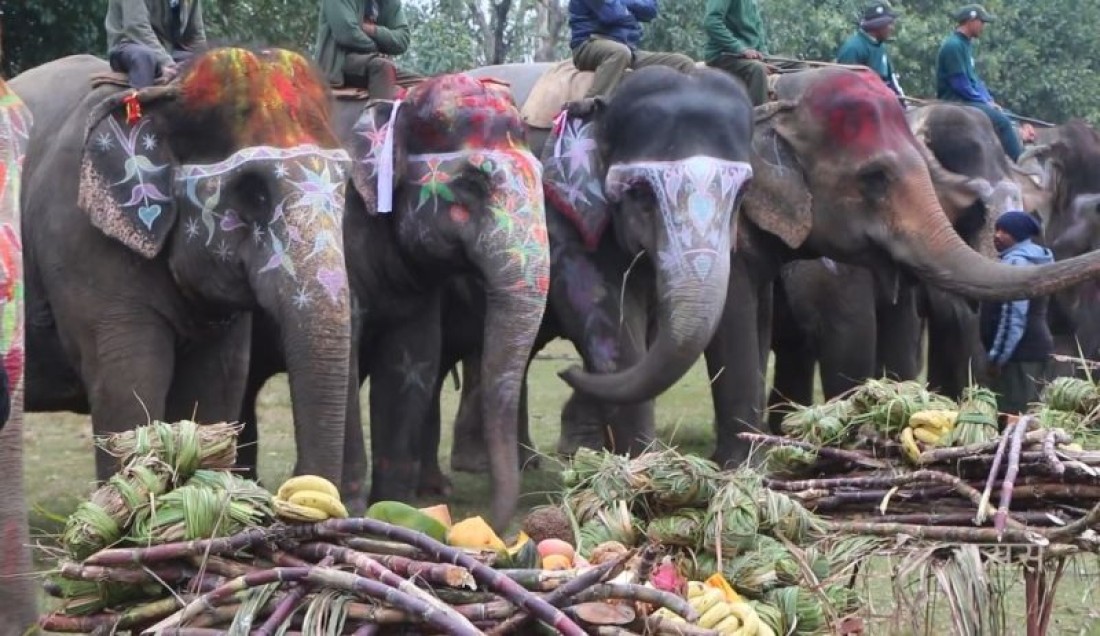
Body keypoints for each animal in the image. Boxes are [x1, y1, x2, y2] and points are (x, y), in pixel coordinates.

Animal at [14, 50, 355, 494]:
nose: (292, 488)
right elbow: (128, 394)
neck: (167, 90)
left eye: (346, 184)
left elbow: (212, 392)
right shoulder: (83, 242)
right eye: (253, 191)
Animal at [236, 73, 550, 528]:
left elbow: (413, 361)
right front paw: (349, 506)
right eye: (471, 183)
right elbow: (347, 356)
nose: (494, 522)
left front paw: (397, 510)